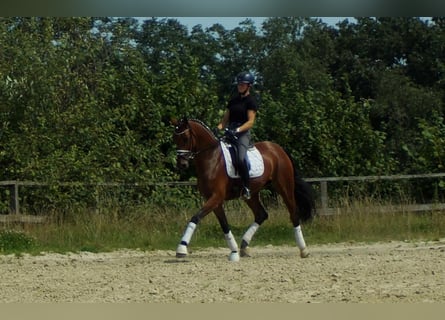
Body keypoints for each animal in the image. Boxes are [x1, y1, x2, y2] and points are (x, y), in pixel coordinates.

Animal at [172, 116, 314, 262]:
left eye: (185, 138)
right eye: (174, 138)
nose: (181, 164)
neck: (211, 158)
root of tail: (278, 149)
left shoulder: (216, 196)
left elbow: (195, 217)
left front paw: (181, 248)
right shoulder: (213, 200)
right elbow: (224, 225)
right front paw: (234, 252)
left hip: (284, 186)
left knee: (293, 213)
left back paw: (304, 250)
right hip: (252, 194)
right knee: (261, 214)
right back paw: (244, 246)